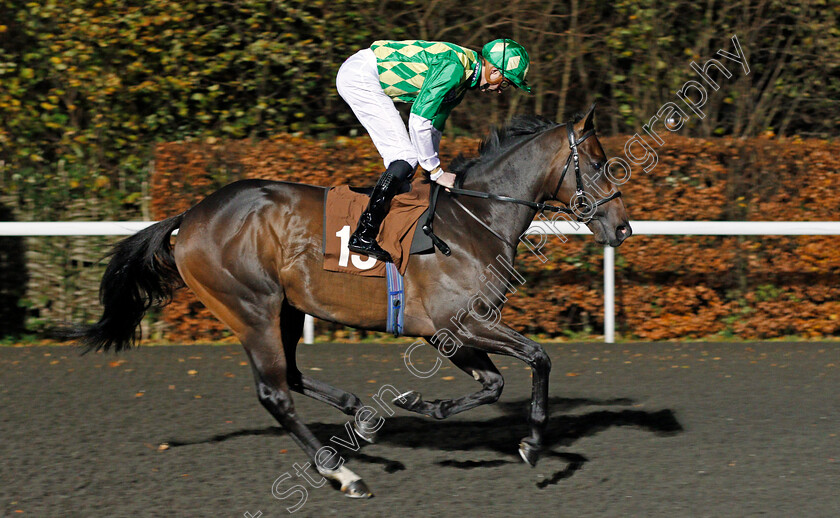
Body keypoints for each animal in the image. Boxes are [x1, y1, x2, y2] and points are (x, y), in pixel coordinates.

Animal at [75, 105, 632, 500]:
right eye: (600, 163)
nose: (623, 228)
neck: (475, 221)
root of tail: (189, 217)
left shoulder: (446, 332)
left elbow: (493, 384)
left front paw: (421, 404)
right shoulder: (460, 323)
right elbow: (540, 357)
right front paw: (533, 444)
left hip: (287, 308)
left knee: (291, 375)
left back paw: (359, 413)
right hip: (251, 308)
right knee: (274, 393)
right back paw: (342, 472)